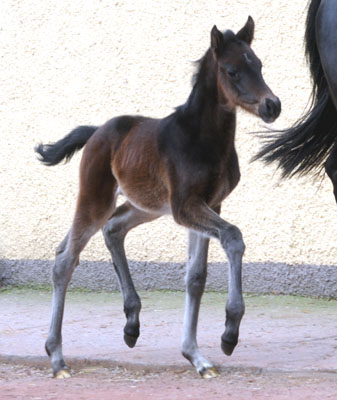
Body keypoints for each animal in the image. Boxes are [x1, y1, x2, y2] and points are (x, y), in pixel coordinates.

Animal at [35, 17, 280, 380]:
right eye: (232, 71)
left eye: (260, 65)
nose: (272, 105)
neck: (203, 139)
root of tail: (96, 132)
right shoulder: (186, 207)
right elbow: (233, 237)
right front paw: (229, 333)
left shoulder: (209, 203)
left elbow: (196, 277)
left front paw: (196, 356)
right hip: (97, 198)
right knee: (65, 259)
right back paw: (57, 358)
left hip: (145, 205)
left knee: (111, 230)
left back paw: (131, 324)